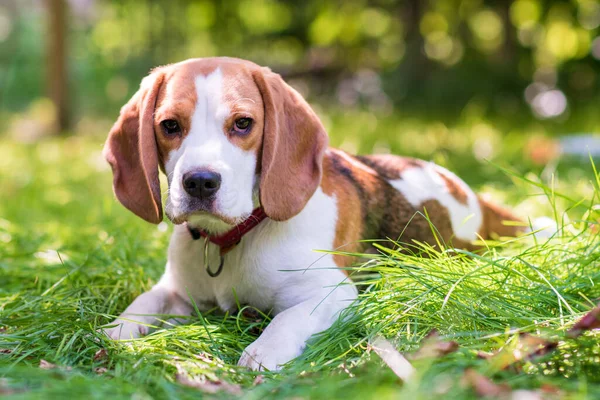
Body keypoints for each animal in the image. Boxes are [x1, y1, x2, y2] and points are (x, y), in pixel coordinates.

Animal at [102, 57, 536, 372]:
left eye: (243, 123)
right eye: (169, 125)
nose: (200, 182)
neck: (236, 238)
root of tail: (471, 194)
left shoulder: (331, 293)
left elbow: (287, 319)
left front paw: (264, 351)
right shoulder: (176, 291)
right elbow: (144, 301)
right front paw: (114, 331)